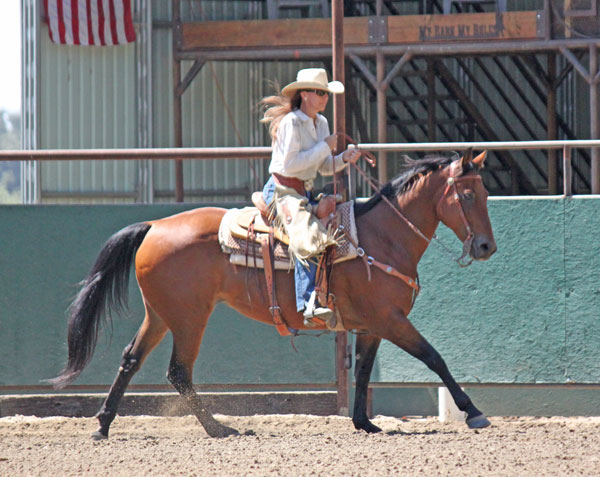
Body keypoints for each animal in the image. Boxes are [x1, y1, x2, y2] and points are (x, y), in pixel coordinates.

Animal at [50, 148, 496, 438]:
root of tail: (155, 225)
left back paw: (103, 425)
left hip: (160, 314)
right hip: (189, 318)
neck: (382, 238)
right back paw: (219, 428)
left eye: (487, 193)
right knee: (178, 370)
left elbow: (365, 371)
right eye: (467, 194)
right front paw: (474, 412)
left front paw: (364, 423)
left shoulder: (372, 326)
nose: (486, 247)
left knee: (131, 359)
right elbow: (434, 357)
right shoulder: (391, 320)